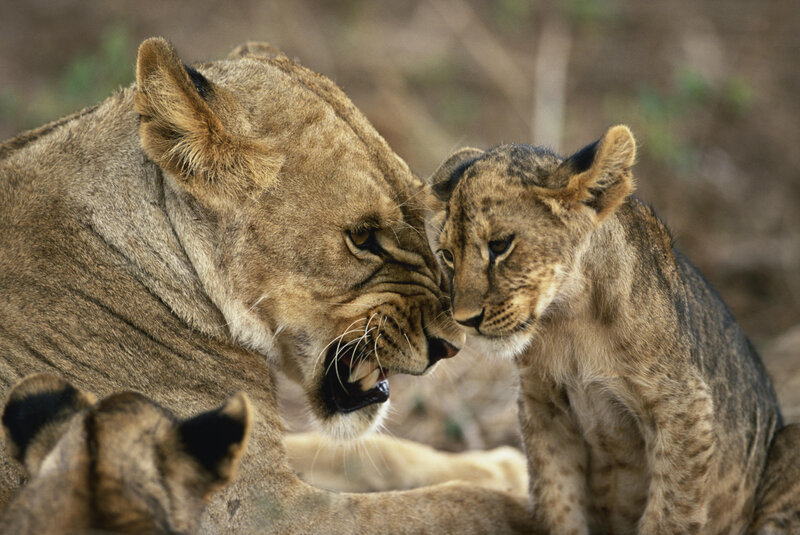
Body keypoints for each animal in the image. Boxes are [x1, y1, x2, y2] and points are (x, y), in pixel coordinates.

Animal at [429, 125, 800, 534]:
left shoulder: (684, 407)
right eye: (448, 255)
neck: (569, 319)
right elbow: (558, 503)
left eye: (499, 245)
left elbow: (669, 513)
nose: (465, 319)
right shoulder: (543, 407)